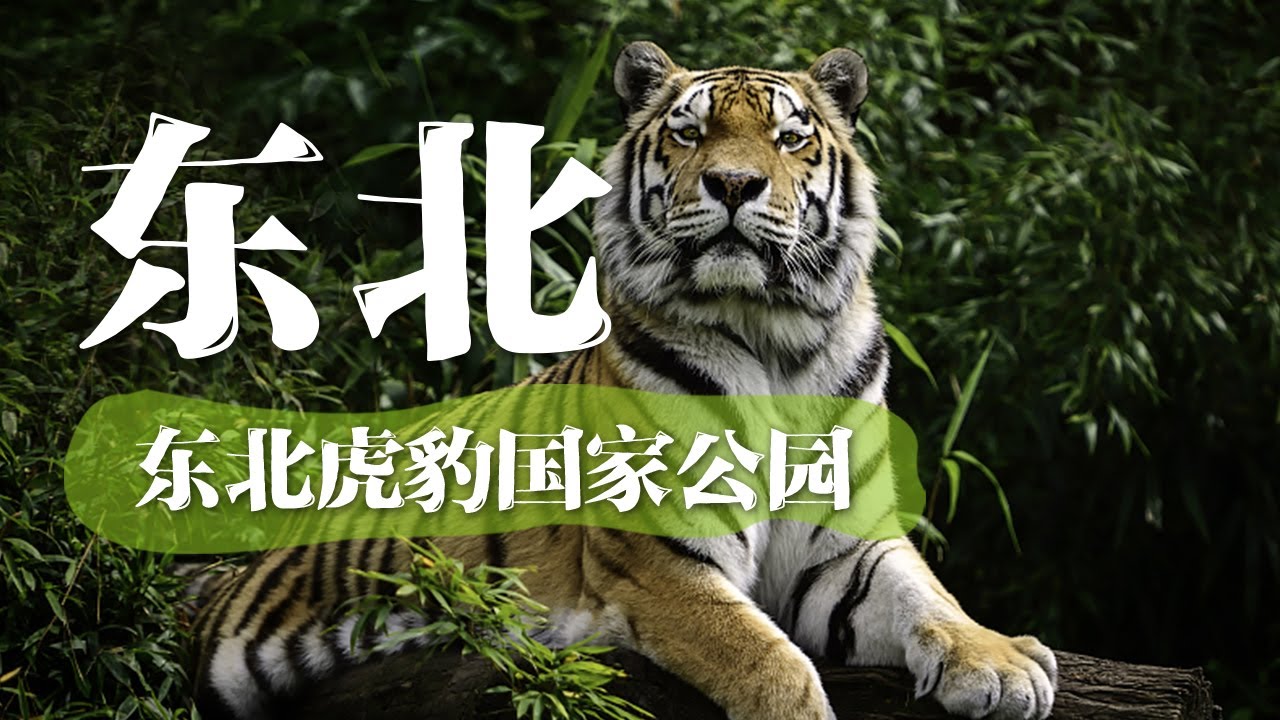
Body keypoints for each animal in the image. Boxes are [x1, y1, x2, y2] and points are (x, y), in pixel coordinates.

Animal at [189, 42, 1057, 720]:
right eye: (690, 132)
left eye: (789, 138)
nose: (733, 184)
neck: (772, 335)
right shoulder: (663, 559)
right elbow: (767, 659)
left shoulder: (846, 545)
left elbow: (926, 595)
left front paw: (999, 664)